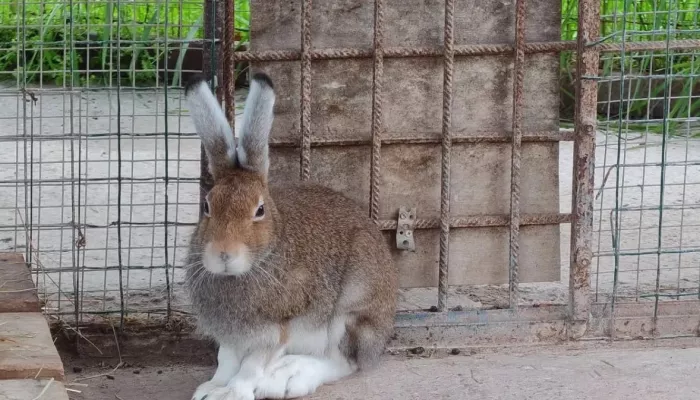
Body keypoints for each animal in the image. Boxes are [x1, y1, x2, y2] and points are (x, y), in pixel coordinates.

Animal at [184, 72, 399, 400]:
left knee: (342, 362)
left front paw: (233, 393)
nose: (224, 254)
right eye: (207, 206)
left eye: (259, 210)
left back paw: (288, 378)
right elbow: (226, 361)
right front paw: (211, 390)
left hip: (350, 310)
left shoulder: (276, 329)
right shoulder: (230, 335)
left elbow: (250, 367)